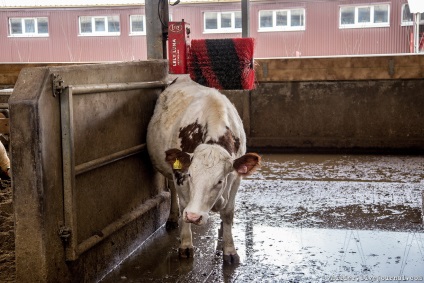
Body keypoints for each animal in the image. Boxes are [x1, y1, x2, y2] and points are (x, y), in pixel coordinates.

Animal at [146, 76, 260, 264]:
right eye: (190, 175)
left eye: (220, 180)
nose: (194, 217)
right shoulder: (180, 176)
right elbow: (184, 203)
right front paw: (185, 244)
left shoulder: (236, 178)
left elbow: (228, 212)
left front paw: (230, 250)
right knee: (172, 189)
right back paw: (172, 217)